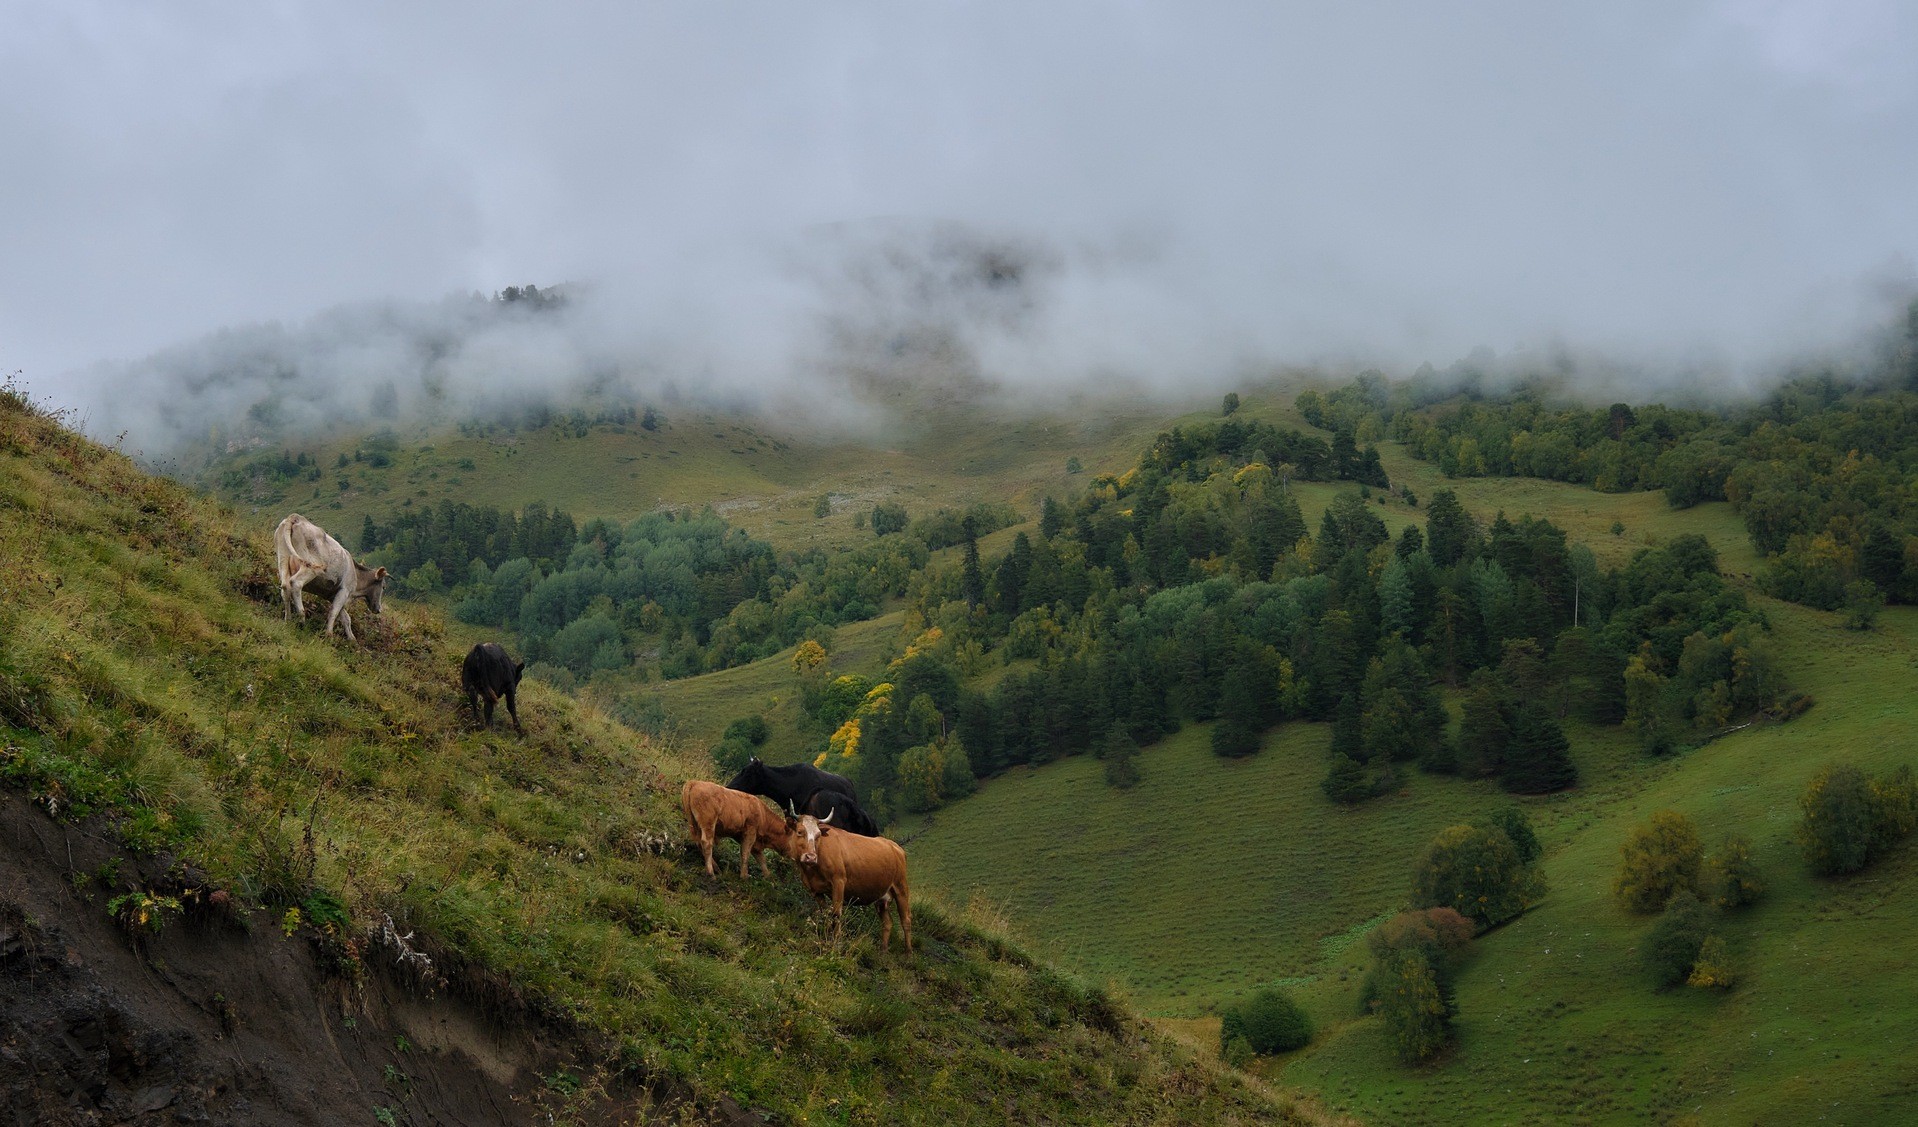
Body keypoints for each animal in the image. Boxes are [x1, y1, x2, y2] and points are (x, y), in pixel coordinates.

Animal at [272, 513, 387, 644]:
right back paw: (302, 620)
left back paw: (288, 620)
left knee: (285, 586)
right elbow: (334, 612)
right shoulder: (344, 590)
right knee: (295, 583)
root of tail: (296, 517)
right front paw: (329, 636)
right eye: (383, 587)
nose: (379, 609)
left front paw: (352, 640)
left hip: (283, 559)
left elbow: (345, 617)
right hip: (311, 567)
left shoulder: (333, 595)